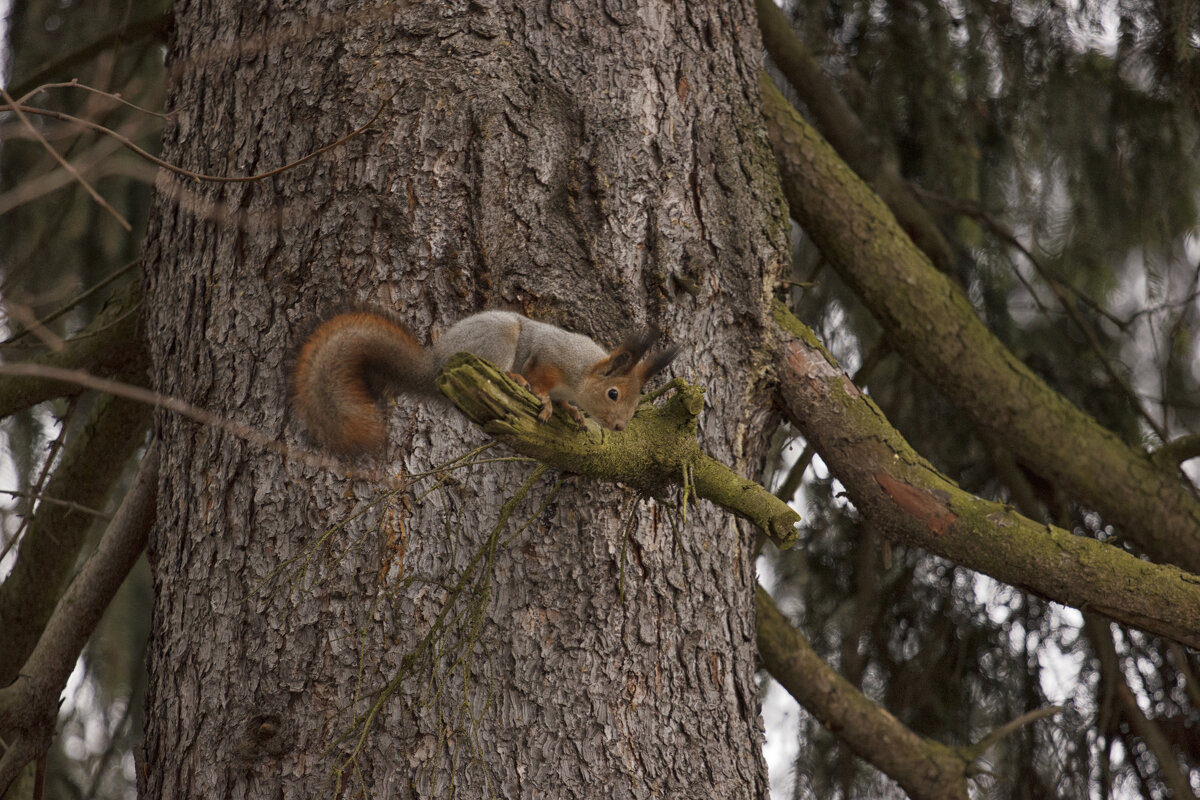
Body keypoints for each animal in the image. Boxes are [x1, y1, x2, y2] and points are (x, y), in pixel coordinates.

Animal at [289, 309, 676, 453]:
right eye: (613, 394)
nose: (620, 426)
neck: (581, 371)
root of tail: (437, 363)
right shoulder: (549, 358)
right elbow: (541, 381)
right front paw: (546, 400)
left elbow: (567, 401)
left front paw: (574, 412)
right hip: (499, 339)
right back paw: (514, 377)